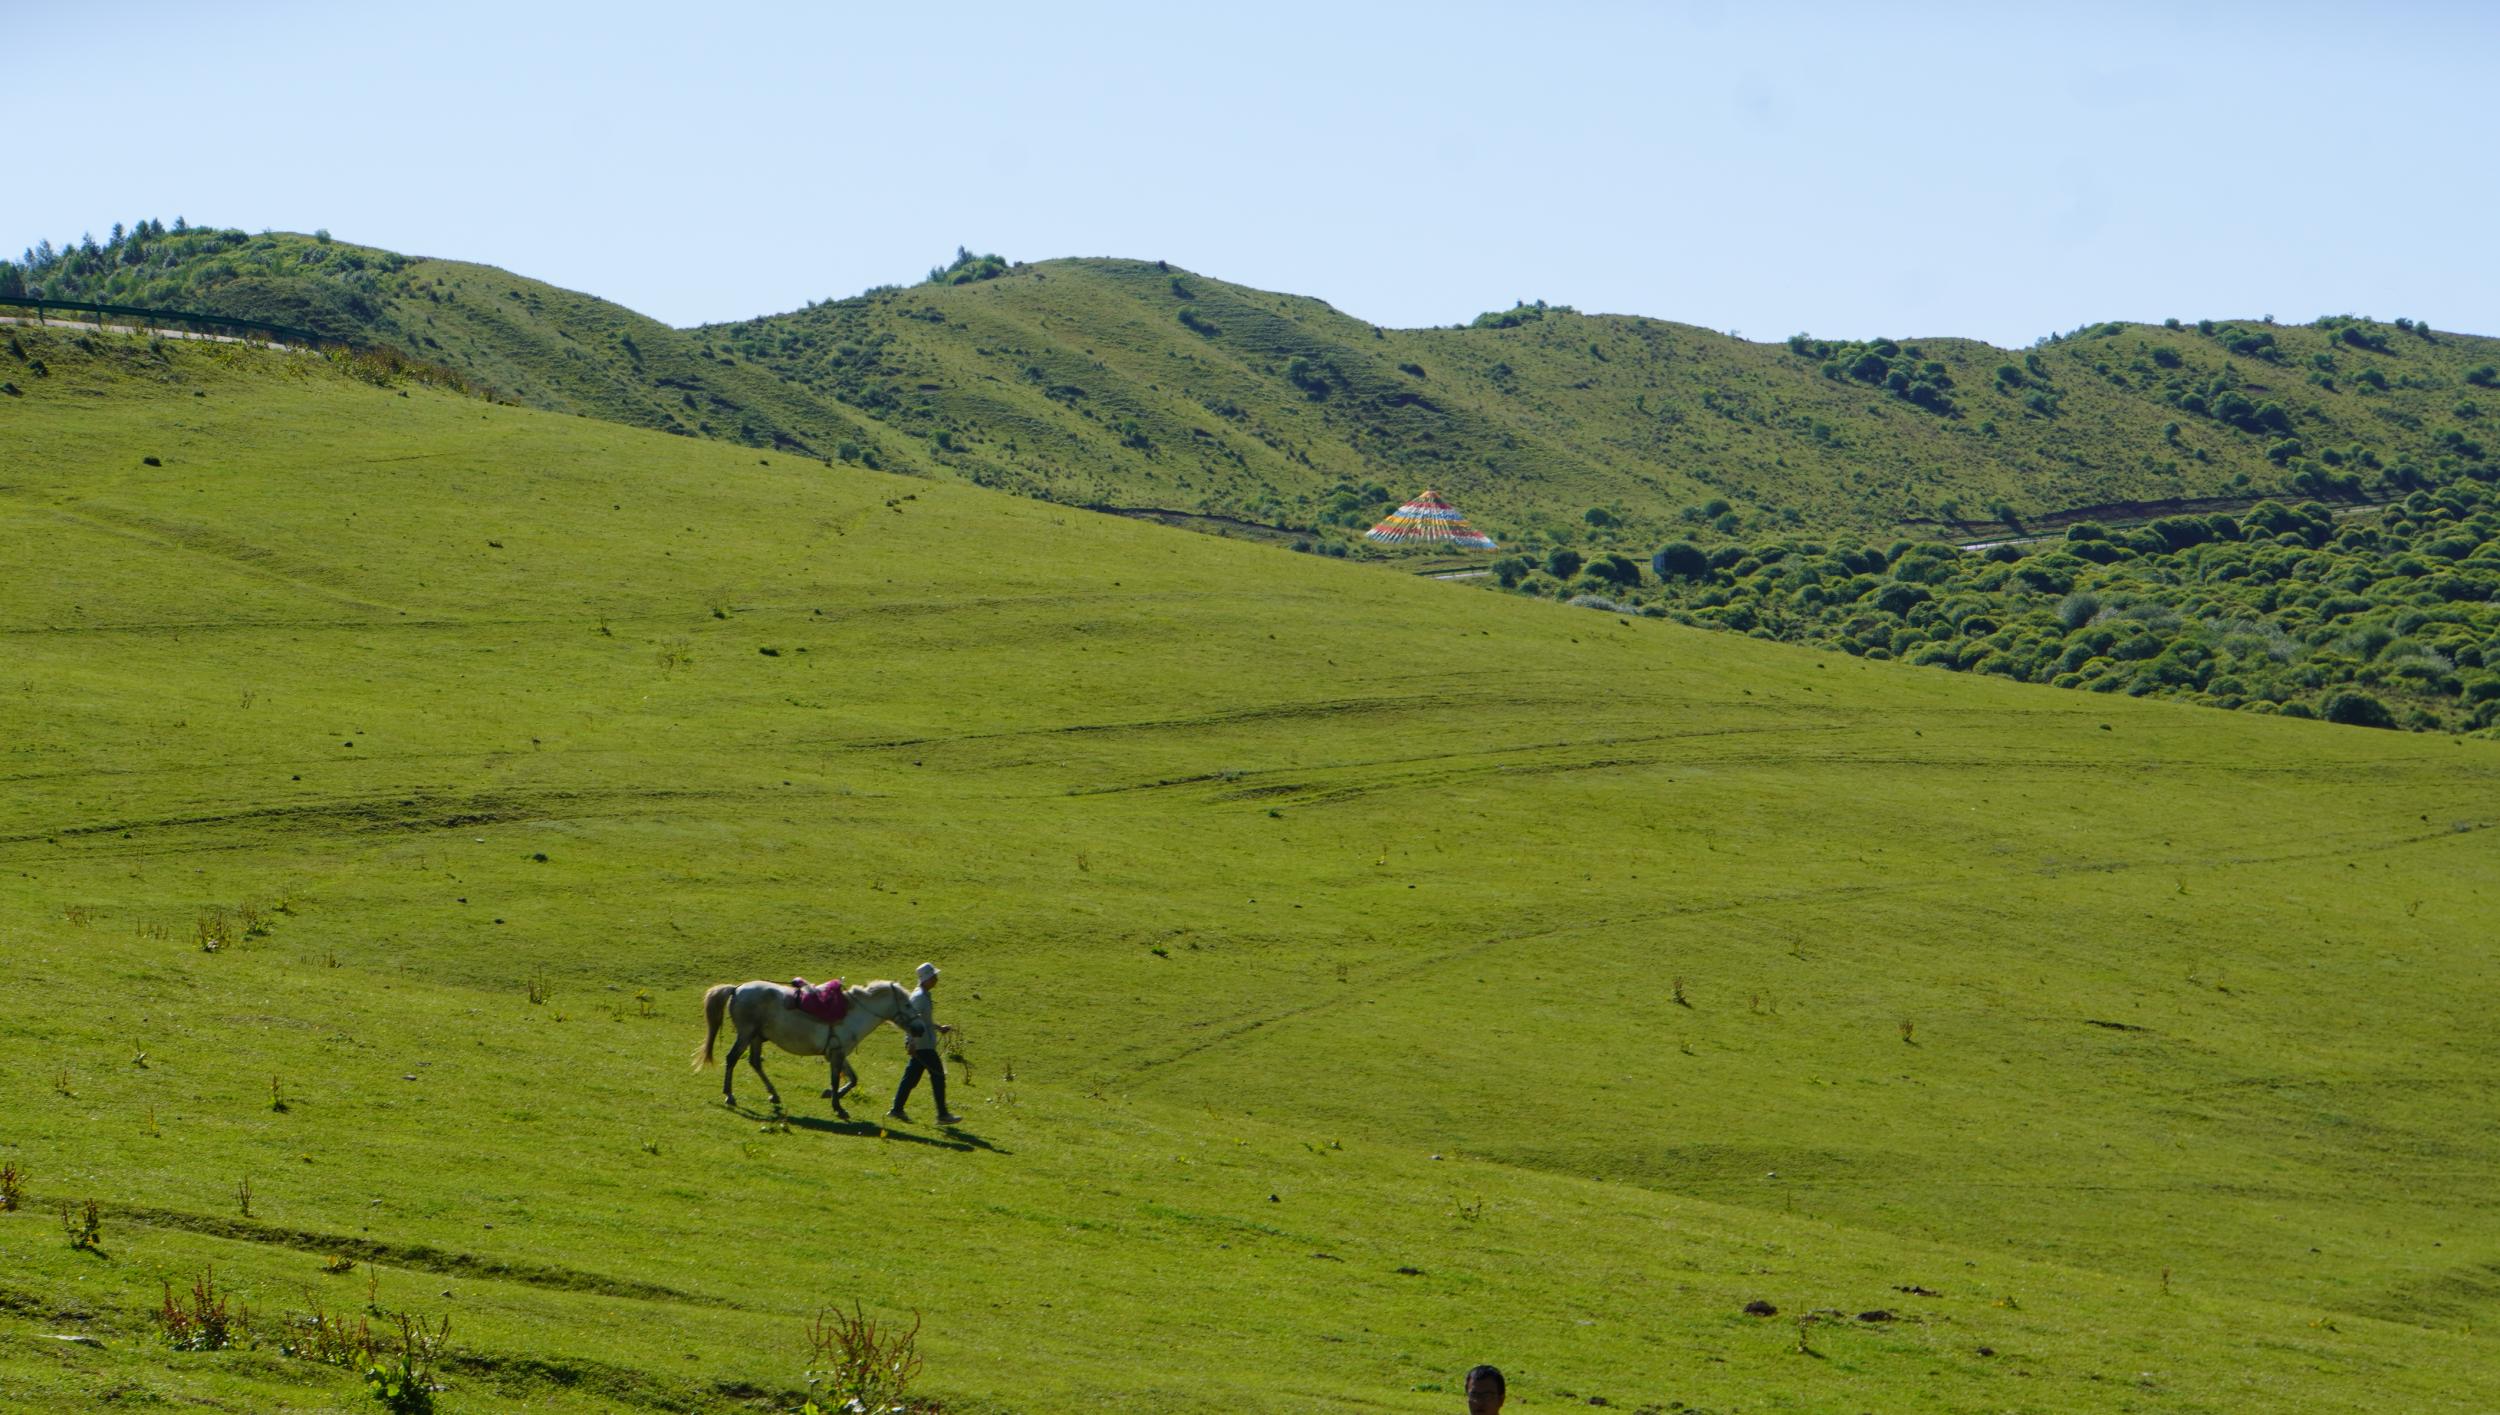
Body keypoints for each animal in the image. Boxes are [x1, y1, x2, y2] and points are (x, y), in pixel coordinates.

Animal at [695, 980, 930, 1125]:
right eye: (907, 1004)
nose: (920, 1029)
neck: (853, 1014)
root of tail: (737, 988)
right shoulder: (836, 1054)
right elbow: (837, 1080)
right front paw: (838, 1106)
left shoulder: (838, 1053)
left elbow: (853, 1079)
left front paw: (831, 1096)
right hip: (746, 1034)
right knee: (732, 1059)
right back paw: (730, 1095)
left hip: (755, 1037)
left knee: (754, 1062)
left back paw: (774, 1095)